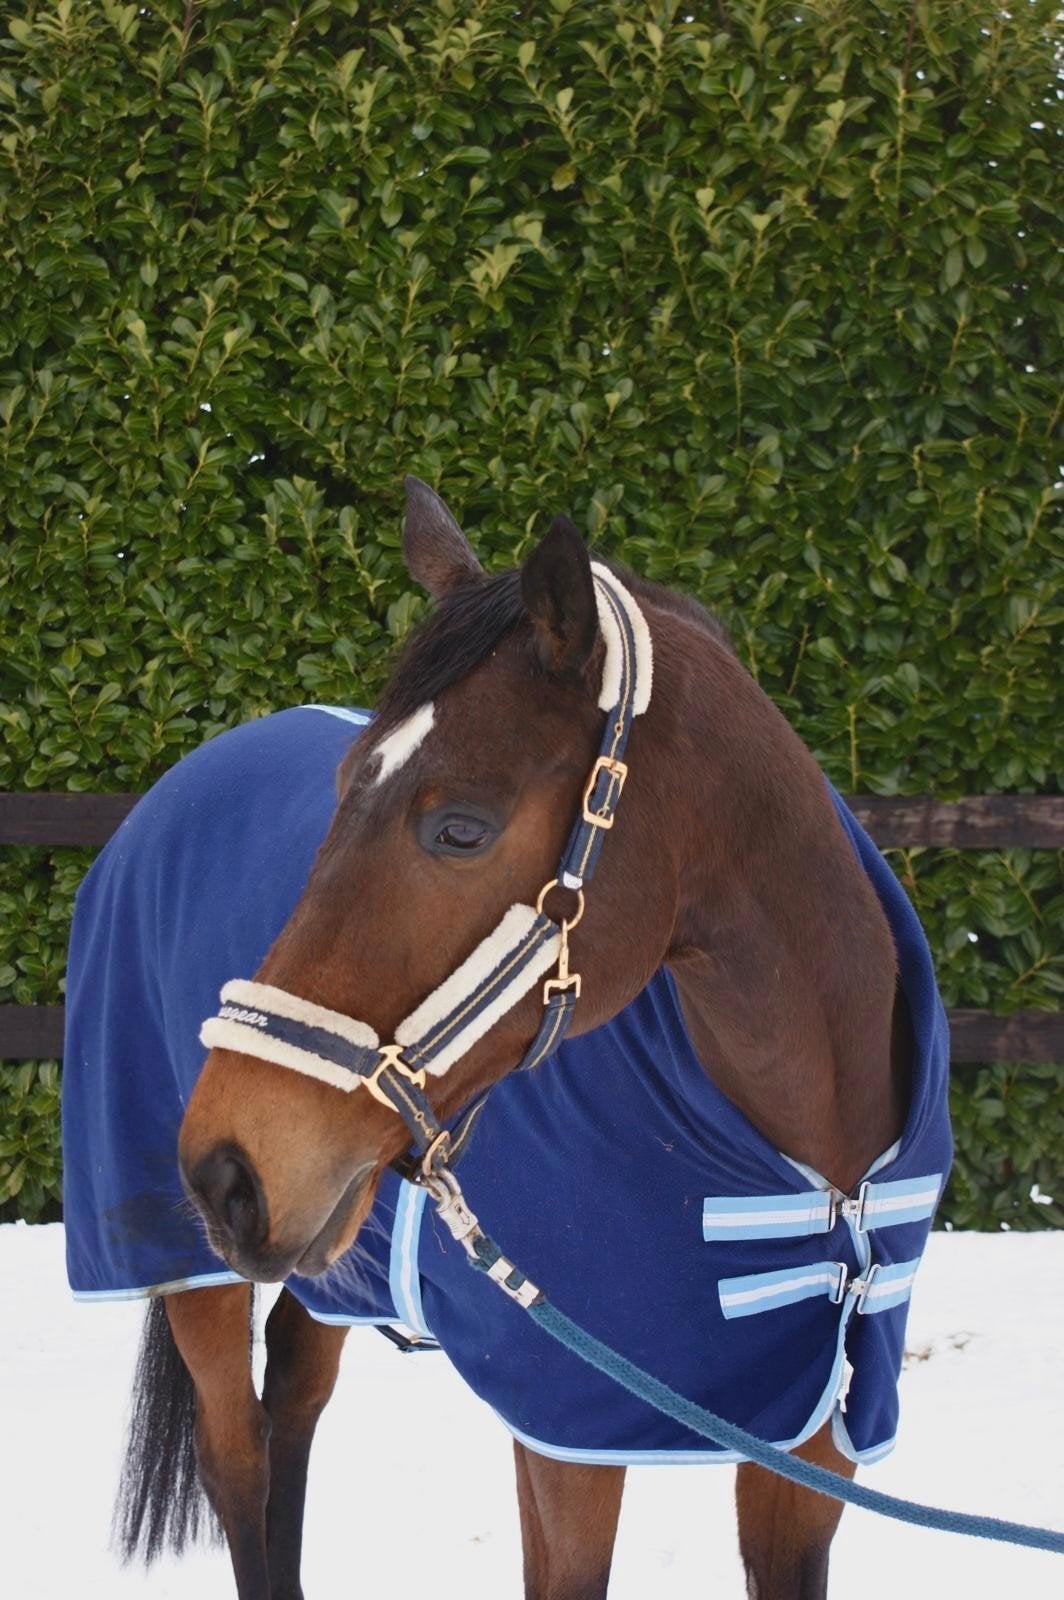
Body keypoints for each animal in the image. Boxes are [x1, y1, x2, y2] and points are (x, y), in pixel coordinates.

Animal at [62, 477, 950, 1600]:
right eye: (342, 787)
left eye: (461, 829)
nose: (225, 1167)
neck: (820, 1161)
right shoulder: (566, 1435)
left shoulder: (810, 1449)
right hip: (198, 1274)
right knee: (238, 1464)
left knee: (291, 1416)